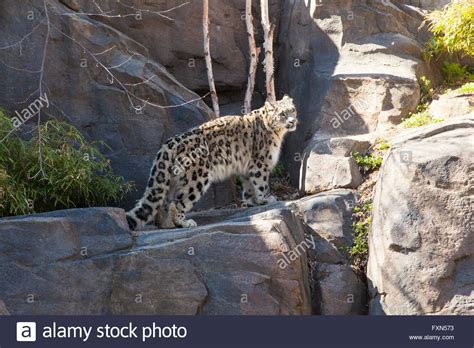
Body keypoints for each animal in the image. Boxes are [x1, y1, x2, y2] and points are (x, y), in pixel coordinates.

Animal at [126, 95, 296, 231]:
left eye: (292, 110)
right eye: (282, 113)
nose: (292, 121)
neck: (278, 134)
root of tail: (169, 144)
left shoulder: (247, 168)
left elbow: (248, 187)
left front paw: (252, 202)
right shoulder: (260, 162)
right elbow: (261, 183)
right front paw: (266, 199)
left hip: (172, 180)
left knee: (163, 203)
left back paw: (165, 225)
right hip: (197, 179)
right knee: (178, 203)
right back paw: (184, 223)